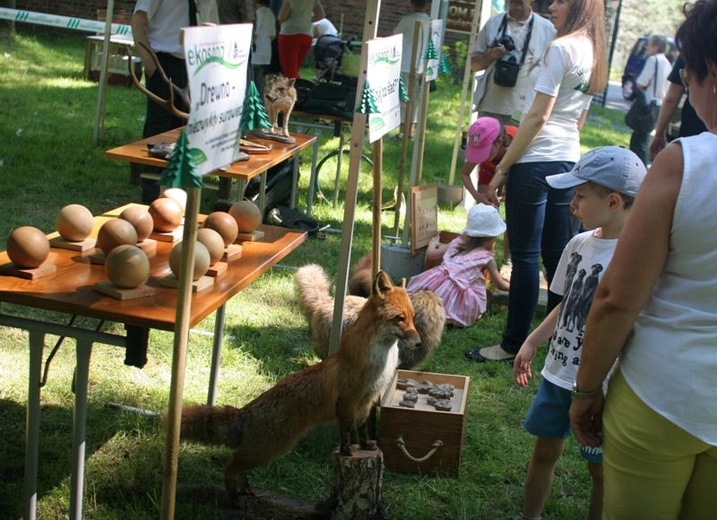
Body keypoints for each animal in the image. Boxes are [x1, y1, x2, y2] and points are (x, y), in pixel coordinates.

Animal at [178, 270, 420, 506]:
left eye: (412, 317)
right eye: (399, 319)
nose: (418, 343)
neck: (378, 364)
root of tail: (247, 410)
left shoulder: (367, 400)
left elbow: (361, 428)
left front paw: (366, 445)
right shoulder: (347, 401)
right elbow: (345, 430)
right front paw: (346, 450)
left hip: (265, 450)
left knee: (238, 466)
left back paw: (245, 490)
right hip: (268, 450)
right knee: (230, 465)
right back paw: (234, 497)